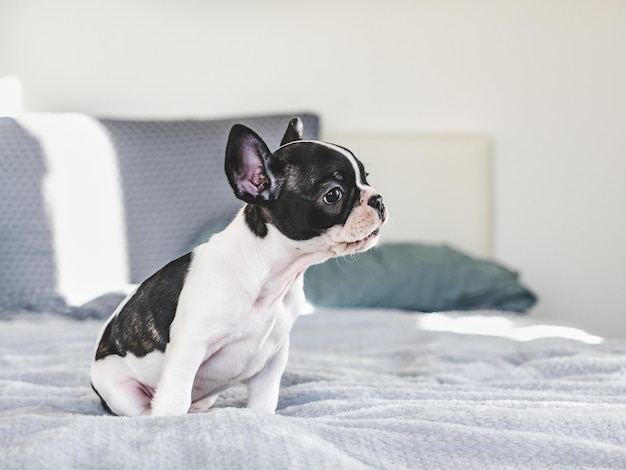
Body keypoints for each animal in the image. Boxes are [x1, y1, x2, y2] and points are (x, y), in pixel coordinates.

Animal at [90, 116, 386, 414]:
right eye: (333, 195)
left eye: (367, 178)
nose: (379, 200)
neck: (272, 276)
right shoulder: (189, 346)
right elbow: (176, 397)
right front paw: (170, 420)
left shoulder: (275, 355)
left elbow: (264, 399)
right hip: (117, 385)